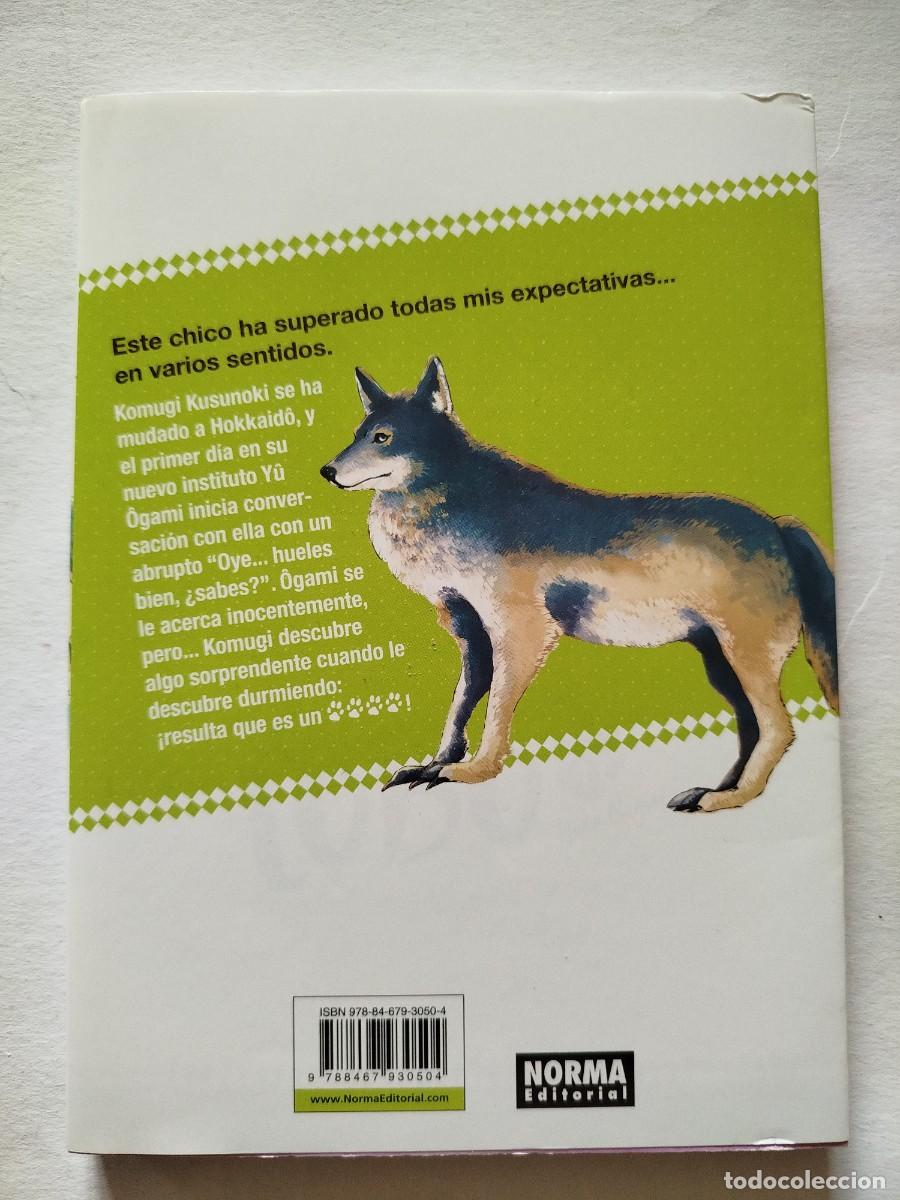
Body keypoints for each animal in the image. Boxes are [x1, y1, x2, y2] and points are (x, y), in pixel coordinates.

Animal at [320, 358, 838, 812]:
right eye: (356, 435)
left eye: (383, 438)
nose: (326, 471)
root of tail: (779, 526)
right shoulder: (472, 636)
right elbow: (459, 710)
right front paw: (434, 765)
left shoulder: (522, 633)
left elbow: (495, 714)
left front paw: (473, 772)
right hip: (721, 665)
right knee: (754, 730)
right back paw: (715, 791)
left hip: (742, 661)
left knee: (780, 729)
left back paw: (725, 800)